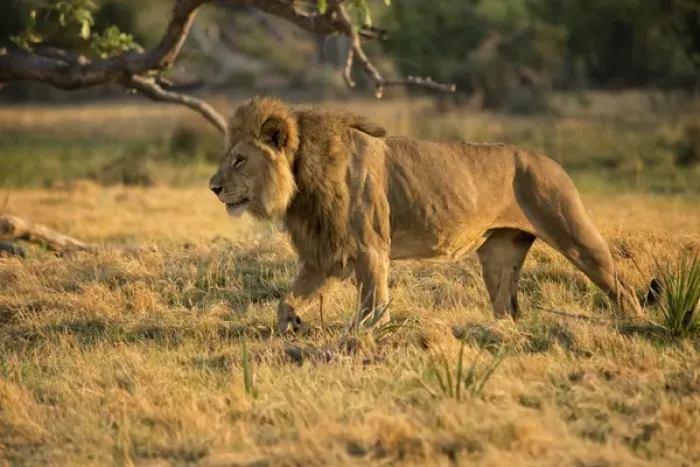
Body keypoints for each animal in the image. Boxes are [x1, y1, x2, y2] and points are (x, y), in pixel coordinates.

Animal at [208, 96, 648, 334]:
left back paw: (637, 326)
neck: (300, 179)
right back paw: (498, 334)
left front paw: (364, 337)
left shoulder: (370, 247)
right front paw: (290, 326)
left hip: (573, 233)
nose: (213, 187)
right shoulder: (327, 253)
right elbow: (288, 299)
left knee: (622, 288)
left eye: (240, 159)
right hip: (499, 257)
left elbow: (373, 302)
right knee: (506, 308)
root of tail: (551, 161)